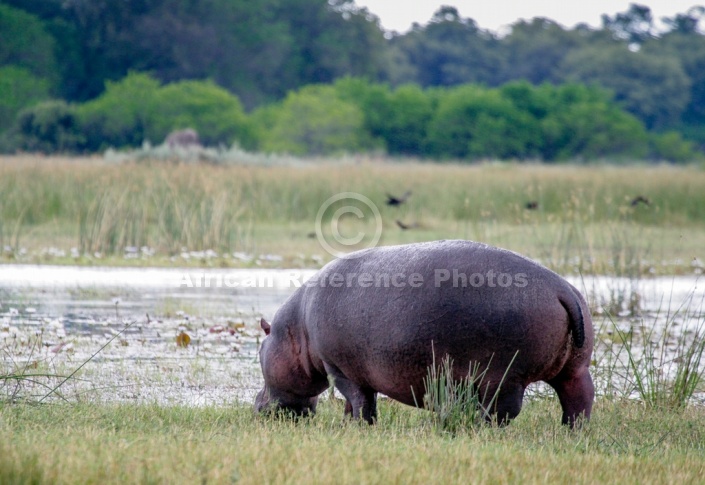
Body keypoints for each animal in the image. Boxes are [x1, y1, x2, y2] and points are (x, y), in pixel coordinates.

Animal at [254, 240, 592, 426]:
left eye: (259, 353)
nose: (257, 406)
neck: (295, 330)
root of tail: (562, 289)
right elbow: (359, 402)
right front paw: (350, 424)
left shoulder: (339, 368)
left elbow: (358, 400)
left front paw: (354, 427)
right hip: (575, 368)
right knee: (579, 400)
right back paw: (571, 431)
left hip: (504, 375)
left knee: (503, 412)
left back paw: (476, 427)